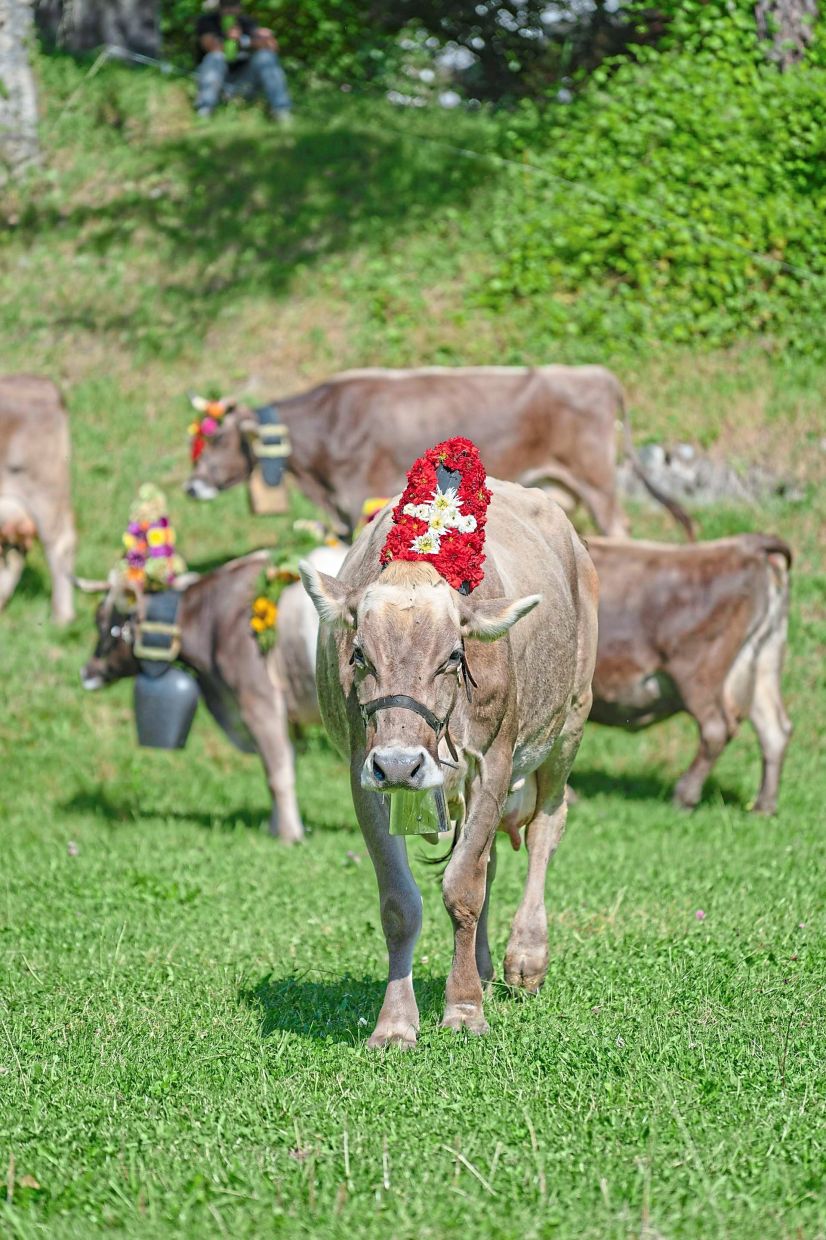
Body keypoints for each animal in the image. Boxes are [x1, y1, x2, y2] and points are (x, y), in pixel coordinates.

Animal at [78, 543, 347, 842]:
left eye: (103, 620)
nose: (86, 672)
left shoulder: (258, 702)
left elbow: (278, 774)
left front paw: (290, 836)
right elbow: (287, 764)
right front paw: (276, 828)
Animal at [184, 366, 693, 539]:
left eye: (218, 439)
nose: (192, 487)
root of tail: (597, 374)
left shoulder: (362, 496)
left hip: (596, 477)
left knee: (618, 526)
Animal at [300, 479, 599, 1048]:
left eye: (454, 657)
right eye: (358, 655)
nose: (399, 765)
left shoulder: (495, 762)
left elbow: (462, 888)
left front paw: (463, 1009)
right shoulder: (363, 771)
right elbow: (402, 904)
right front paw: (396, 1022)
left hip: (569, 723)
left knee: (545, 830)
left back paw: (526, 956)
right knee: (488, 859)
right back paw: (481, 965)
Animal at [586, 533, 792, 814]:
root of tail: (746, 545)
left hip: (698, 674)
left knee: (716, 729)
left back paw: (684, 797)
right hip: (762, 664)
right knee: (774, 731)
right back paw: (764, 806)